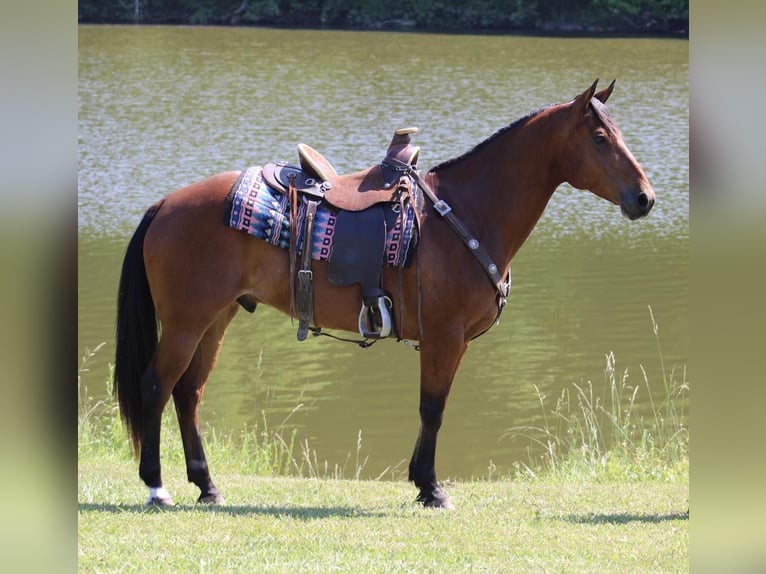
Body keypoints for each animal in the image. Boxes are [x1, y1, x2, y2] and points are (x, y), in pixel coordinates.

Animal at [114, 80, 655, 509]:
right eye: (601, 138)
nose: (645, 197)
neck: (465, 211)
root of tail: (166, 203)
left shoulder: (451, 342)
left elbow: (433, 407)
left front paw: (420, 482)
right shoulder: (444, 337)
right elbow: (432, 409)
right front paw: (431, 488)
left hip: (215, 318)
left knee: (188, 392)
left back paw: (207, 486)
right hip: (186, 323)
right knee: (156, 387)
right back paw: (156, 487)